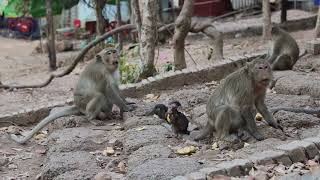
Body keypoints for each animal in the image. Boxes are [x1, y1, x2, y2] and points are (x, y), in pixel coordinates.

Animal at [7, 48, 135, 144]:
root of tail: (77, 105)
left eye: (114, 51)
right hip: (83, 102)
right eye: (109, 53)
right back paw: (92, 118)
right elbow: (108, 90)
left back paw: (107, 114)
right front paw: (126, 108)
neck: (105, 65)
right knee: (99, 96)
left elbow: (115, 87)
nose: (116, 54)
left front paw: (127, 103)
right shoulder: (101, 73)